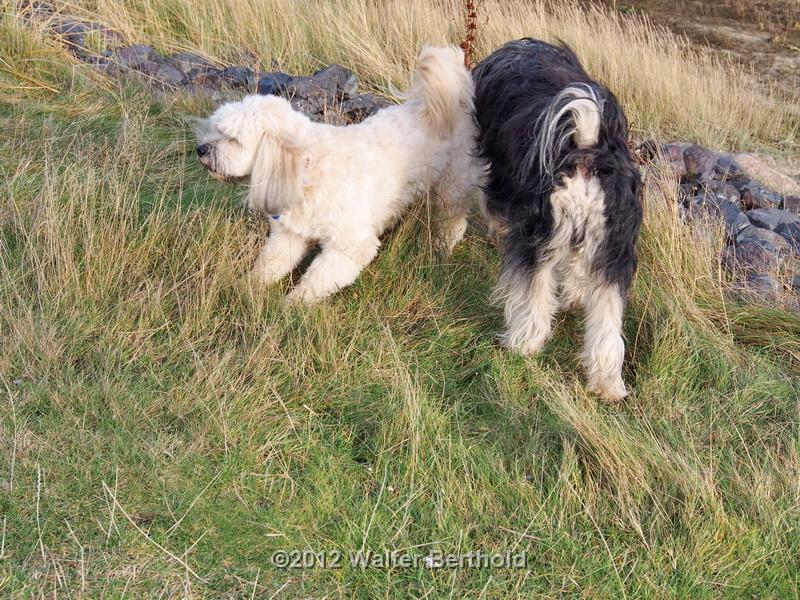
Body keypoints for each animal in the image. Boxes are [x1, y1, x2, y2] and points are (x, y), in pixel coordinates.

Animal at [197, 45, 478, 304]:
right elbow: (270, 263)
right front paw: (248, 287)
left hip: (451, 186)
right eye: (215, 130)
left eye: (232, 139)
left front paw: (292, 305)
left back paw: (443, 247)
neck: (308, 170)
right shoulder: (290, 234)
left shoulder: (350, 244)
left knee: (454, 221)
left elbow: (318, 279)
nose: (201, 149)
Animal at [472, 39, 640, 400]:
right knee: (607, 321)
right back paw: (607, 383)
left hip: (540, 236)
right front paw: (574, 295)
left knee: (533, 294)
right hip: (614, 249)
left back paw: (522, 344)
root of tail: (586, 149)